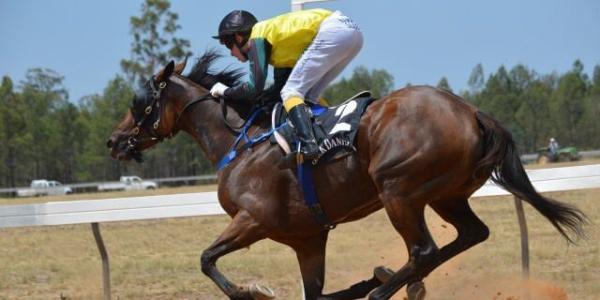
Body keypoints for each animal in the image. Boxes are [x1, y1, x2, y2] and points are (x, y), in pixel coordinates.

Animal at [105, 52, 584, 300]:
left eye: (139, 102)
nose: (114, 140)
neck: (241, 144)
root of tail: (471, 111)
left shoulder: (253, 220)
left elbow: (207, 259)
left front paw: (253, 291)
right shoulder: (307, 238)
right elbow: (315, 294)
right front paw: (370, 276)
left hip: (397, 190)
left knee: (424, 249)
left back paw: (386, 291)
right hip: (445, 194)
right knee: (470, 234)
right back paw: (395, 283)